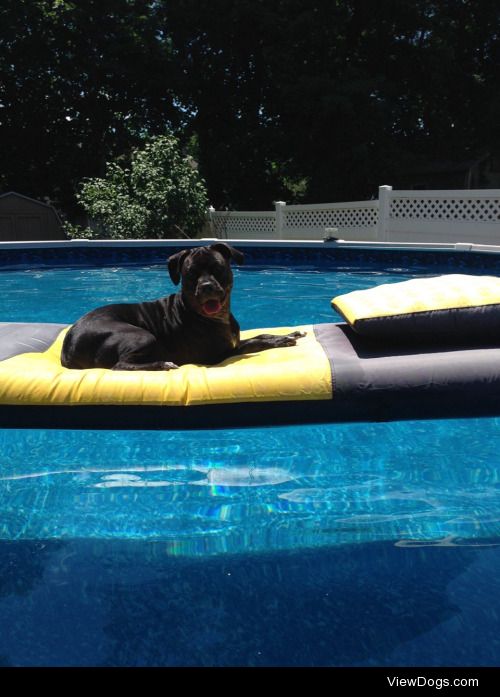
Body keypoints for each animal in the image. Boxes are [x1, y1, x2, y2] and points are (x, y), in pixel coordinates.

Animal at [62, 242, 304, 370]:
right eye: (190, 274)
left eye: (217, 268)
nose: (206, 286)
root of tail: (68, 345)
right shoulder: (217, 356)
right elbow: (254, 343)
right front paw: (280, 341)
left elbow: (260, 335)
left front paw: (288, 334)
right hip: (141, 335)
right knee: (120, 365)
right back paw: (162, 364)